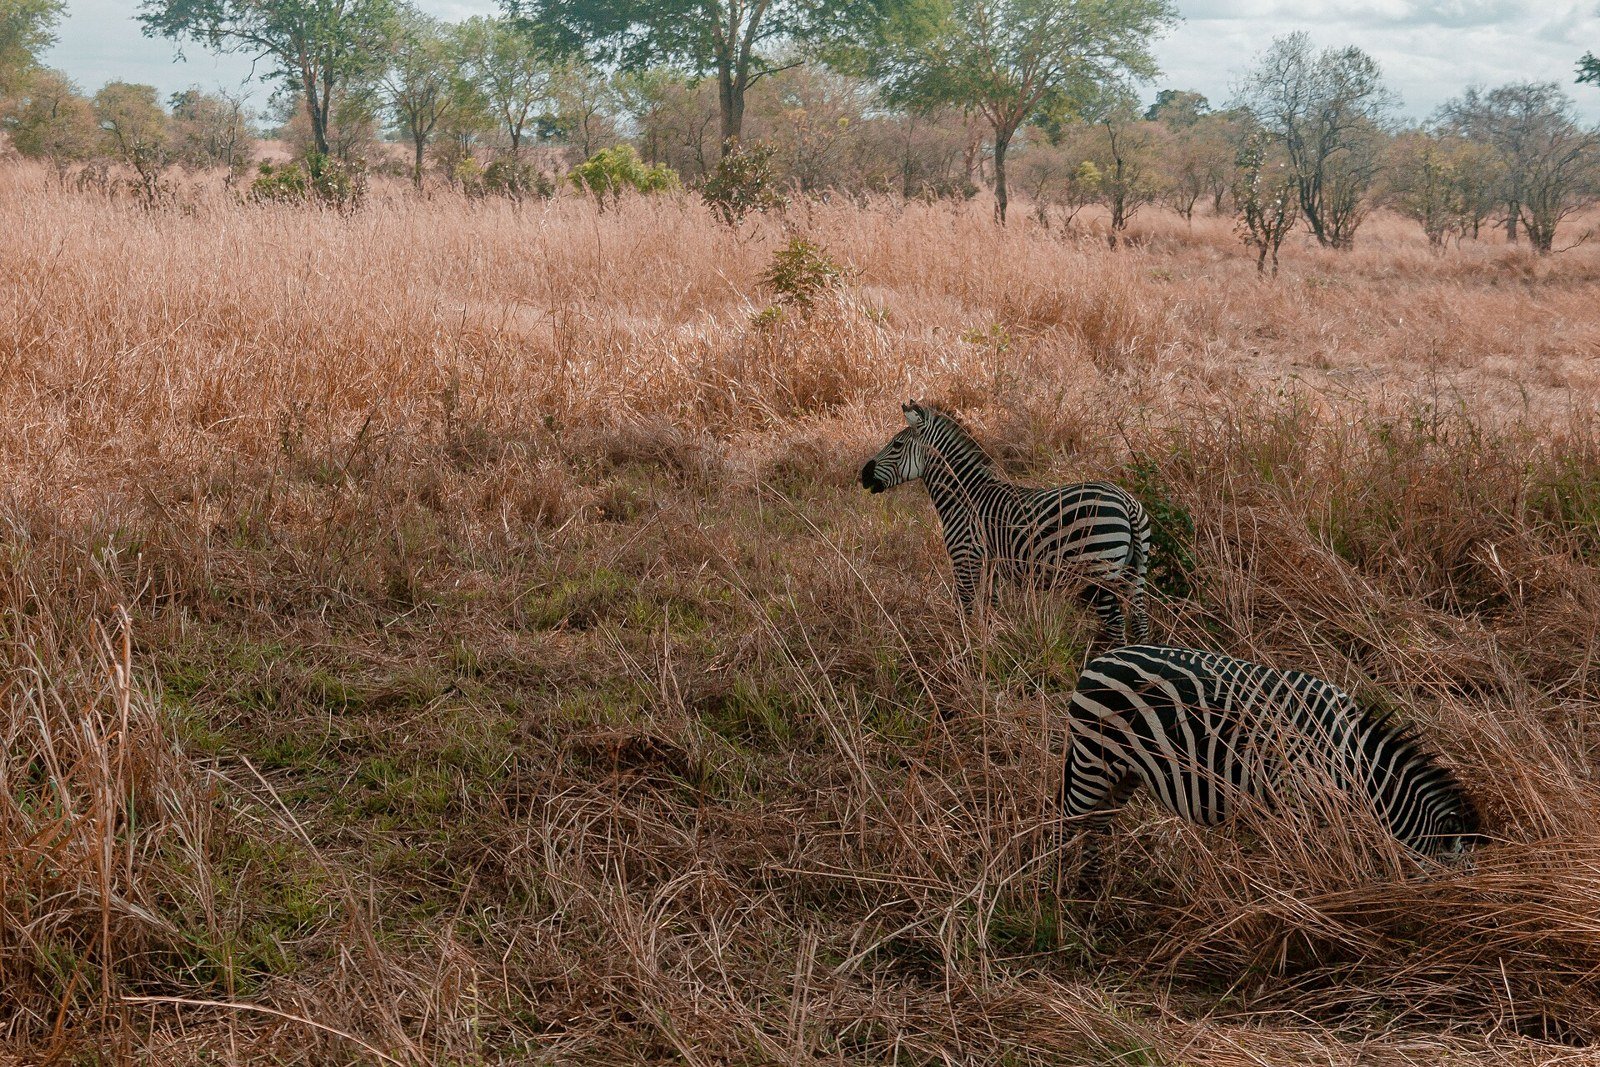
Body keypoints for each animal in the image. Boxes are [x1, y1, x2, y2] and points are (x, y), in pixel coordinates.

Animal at [860, 400, 1151, 644]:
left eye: (897, 445)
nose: (863, 475)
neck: (964, 496)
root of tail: (1127, 501)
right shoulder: (992, 564)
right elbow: (990, 609)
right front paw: (988, 647)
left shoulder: (965, 556)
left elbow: (965, 608)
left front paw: (964, 647)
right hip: (1136, 570)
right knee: (1140, 622)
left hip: (1099, 571)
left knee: (1116, 625)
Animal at [1057, 644, 1482, 867]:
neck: (1351, 765)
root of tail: (1099, 659)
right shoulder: (1297, 800)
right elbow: (1307, 868)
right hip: (1094, 758)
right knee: (1068, 820)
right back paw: (1060, 895)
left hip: (1124, 771)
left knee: (1094, 827)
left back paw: (1089, 888)